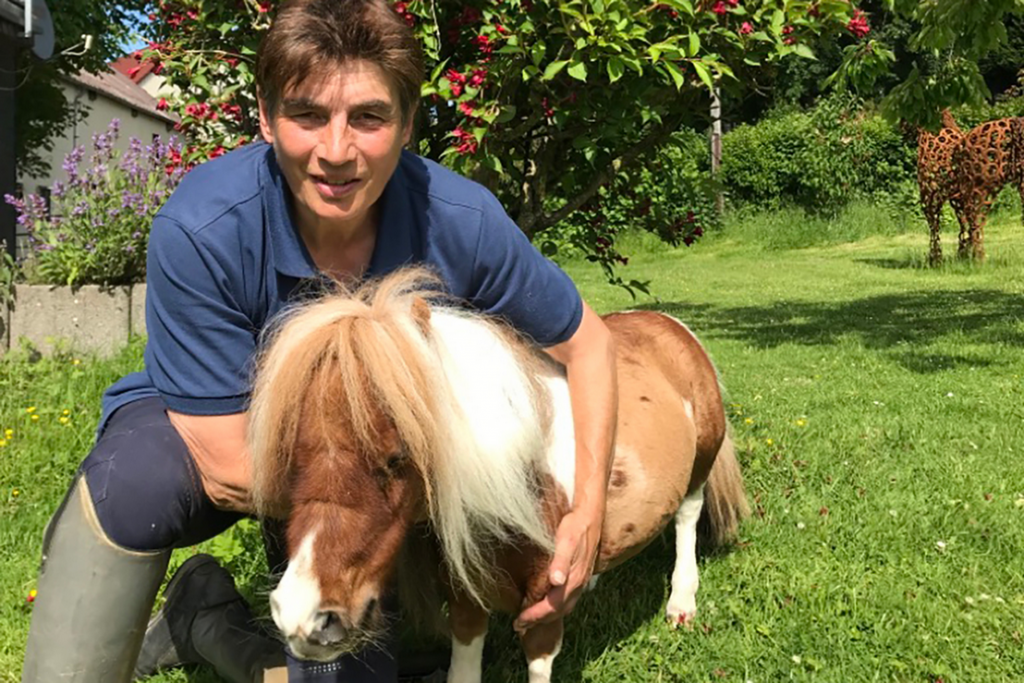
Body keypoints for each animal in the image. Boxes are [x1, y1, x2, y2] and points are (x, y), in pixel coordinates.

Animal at [248, 268, 749, 681]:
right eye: (291, 455)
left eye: (397, 458)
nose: (303, 616)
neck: (521, 486)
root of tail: (669, 325)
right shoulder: (465, 599)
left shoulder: (544, 610)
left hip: (701, 460)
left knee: (687, 515)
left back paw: (681, 601)